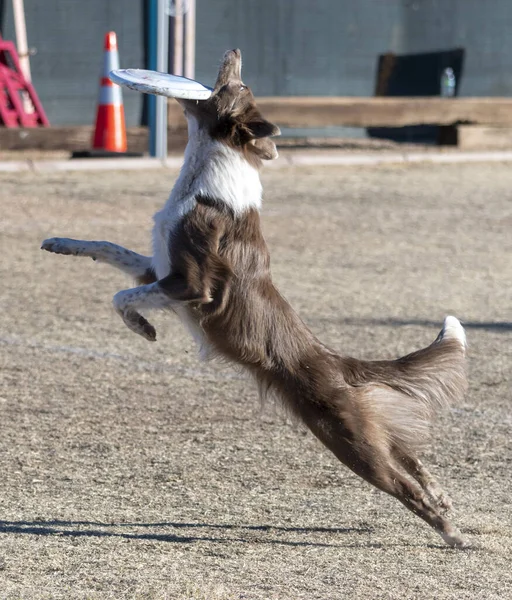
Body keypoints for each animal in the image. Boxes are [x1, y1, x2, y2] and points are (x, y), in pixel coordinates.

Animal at [43, 50, 468, 548]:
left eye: (236, 86)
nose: (235, 53)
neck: (202, 175)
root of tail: (337, 361)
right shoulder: (158, 270)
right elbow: (107, 249)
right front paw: (59, 242)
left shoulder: (191, 284)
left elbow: (121, 295)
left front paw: (142, 326)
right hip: (372, 434)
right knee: (414, 460)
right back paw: (444, 500)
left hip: (351, 442)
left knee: (404, 485)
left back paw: (450, 533)